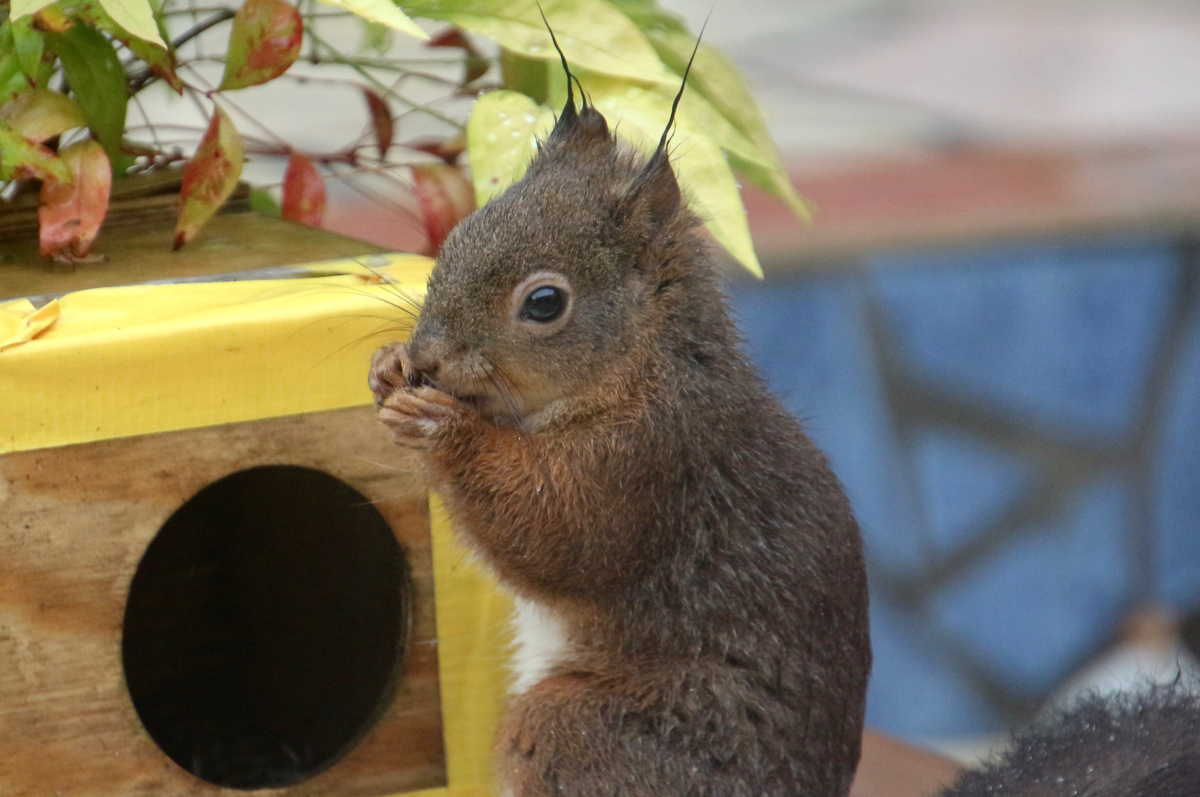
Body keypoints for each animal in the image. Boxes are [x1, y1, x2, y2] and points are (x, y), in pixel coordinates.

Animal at [367, 36, 1199, 797]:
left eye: (545, 303)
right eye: (455, 235)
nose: (430, 354)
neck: (644, 371)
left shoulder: (647, 465)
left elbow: (557, 532)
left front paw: (443, 427)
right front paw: (385, 367)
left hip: (584, 732)